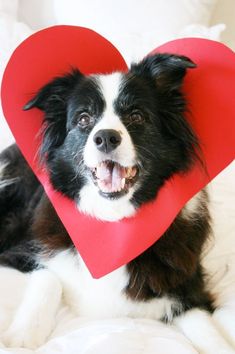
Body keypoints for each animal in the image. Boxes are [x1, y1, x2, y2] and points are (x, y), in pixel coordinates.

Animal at [0, 52, 235, 352]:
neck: (113, 220)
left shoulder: (188, 288)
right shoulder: (24, 251)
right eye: (84, 118)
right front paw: (24, 335)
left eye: (136, 115)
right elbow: (48, 277)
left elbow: (207, 331)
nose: (106, 138)